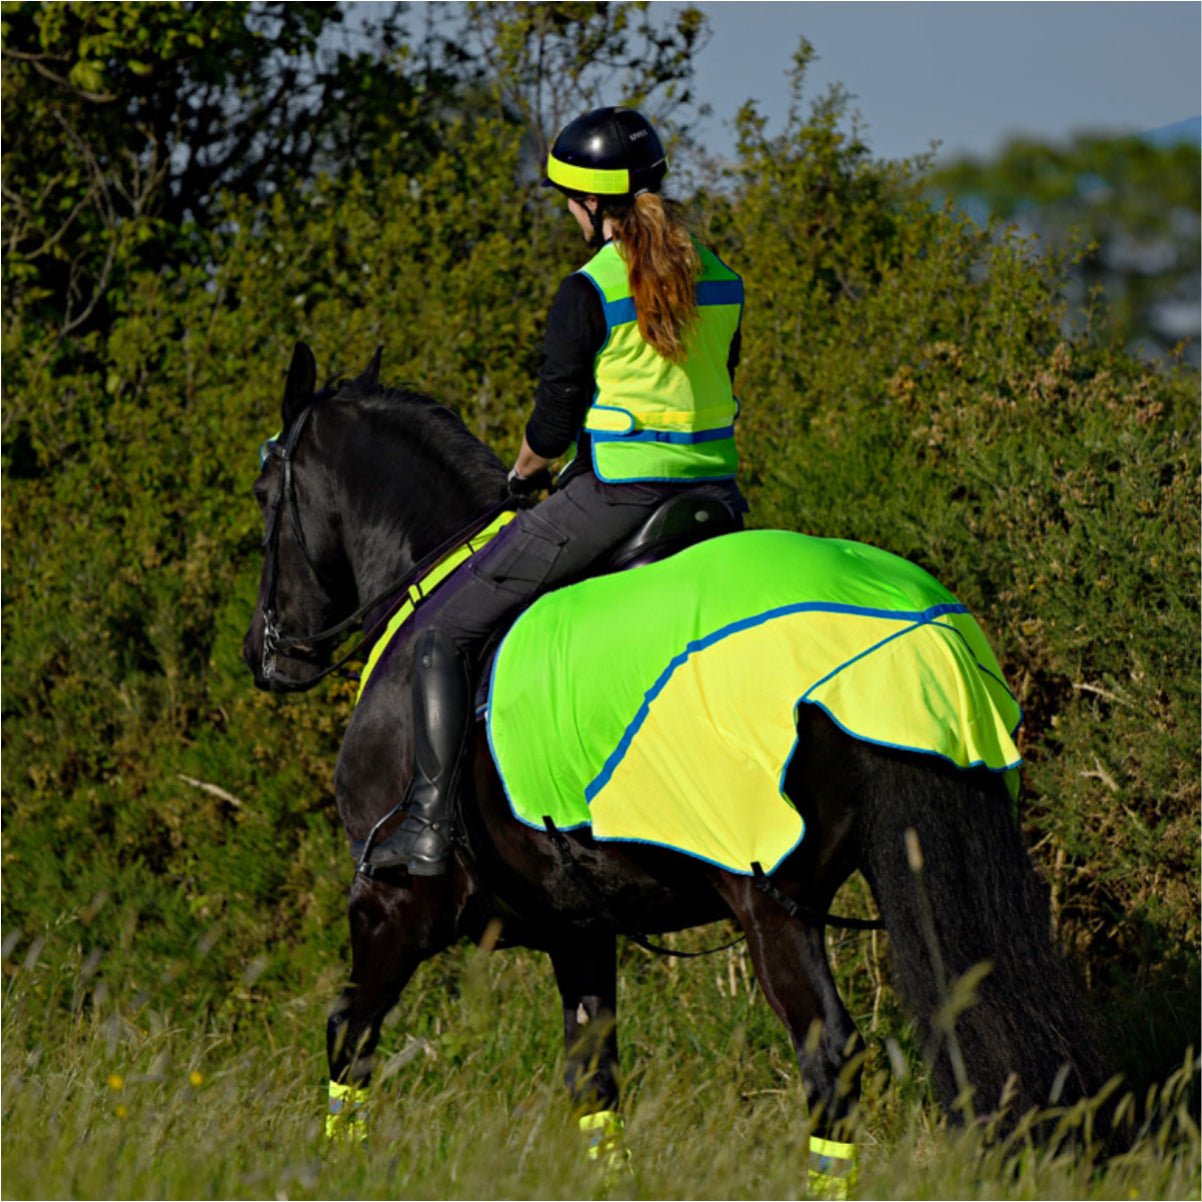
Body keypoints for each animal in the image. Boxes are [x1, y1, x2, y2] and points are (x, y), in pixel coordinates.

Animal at [241, 343, 1105, 1177]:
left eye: (263, 492)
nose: (265, 654)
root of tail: (907, 630)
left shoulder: (393, 904)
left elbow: (348, 1036)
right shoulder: (578, 928)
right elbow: (593, 1079)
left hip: (769, 902)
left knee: (830, 1058)